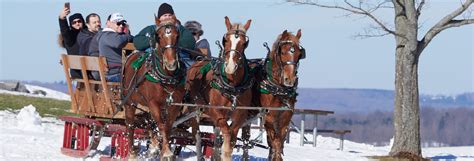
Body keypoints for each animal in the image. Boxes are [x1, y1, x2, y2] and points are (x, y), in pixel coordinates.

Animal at [120, 16, 185, 160]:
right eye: (158, 37)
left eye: (177, 36)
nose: (171, 63)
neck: (167, 77)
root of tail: (132, 55)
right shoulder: (153, 103)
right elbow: (161, 125)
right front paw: (166, 152)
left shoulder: (174, 105)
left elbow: (168, 126)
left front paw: (161, 150)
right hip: (130, 103)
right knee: (130, 126)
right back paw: (132, 153)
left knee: (150, 123)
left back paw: (153, 147)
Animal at [185, 16, 254, 161]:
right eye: (225, 40)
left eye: (244, 43)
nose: (230, 67)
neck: (232, 85)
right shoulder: (216, 111)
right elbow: (227, 134)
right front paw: (225, 154)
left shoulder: (240, 115)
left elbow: (231, 137)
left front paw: (223, 153)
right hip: (194, 110)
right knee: (197, 134)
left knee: (216, 138)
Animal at [258, 29, 306, 160]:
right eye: (282, 52)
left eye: (299, 55)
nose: (289, 80)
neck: (278, 89)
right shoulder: (269, 117)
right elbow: (275, 141)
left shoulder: (286, 118)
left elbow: (280, 141)